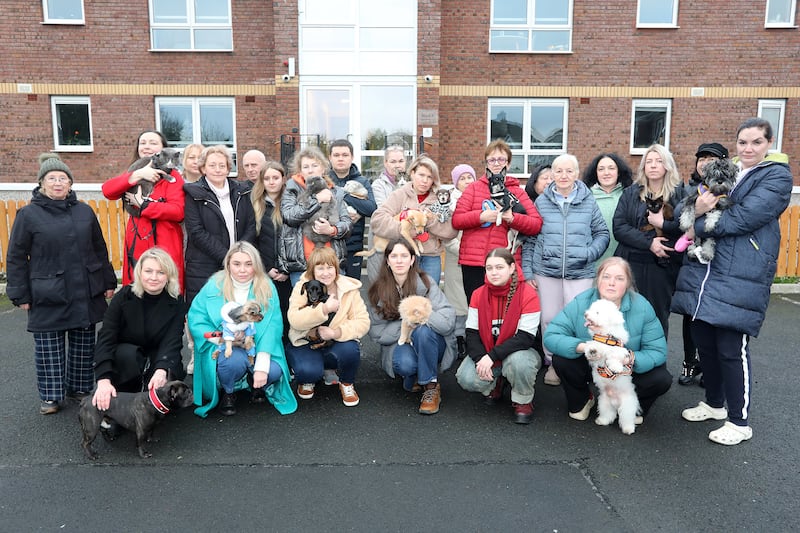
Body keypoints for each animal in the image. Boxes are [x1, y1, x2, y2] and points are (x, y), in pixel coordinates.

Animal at [580, 298, 636, 434]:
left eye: (597, 312)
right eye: (590, 309)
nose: (586, 314)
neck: (605, 335)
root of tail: (616, 403)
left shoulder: (620, 350)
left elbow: (613, 355)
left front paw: (615, 367)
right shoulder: (596, 349)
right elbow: (593, 347)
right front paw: (592, 350)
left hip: (627, 406)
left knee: (626, 417)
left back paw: (628, 428)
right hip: (604, 402)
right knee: (608, 414)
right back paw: (602, 421)